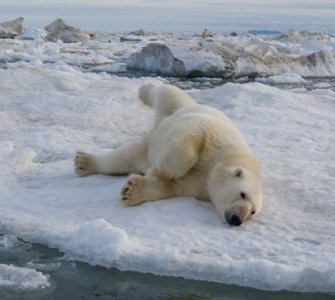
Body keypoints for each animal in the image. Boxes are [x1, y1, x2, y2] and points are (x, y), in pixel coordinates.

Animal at [75, 82, 264, 225]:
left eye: (253, 211)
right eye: (243, 194)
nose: (237, 219)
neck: (220, 163)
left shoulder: (198, 186)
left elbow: (169, 186)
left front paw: (131, 190)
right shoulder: (214, 136)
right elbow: (193, 136)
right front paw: (165, 169)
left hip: (147, 149)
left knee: (124, 158)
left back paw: (85, 163)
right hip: (178, 107)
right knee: (167, 93)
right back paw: (145, 89)